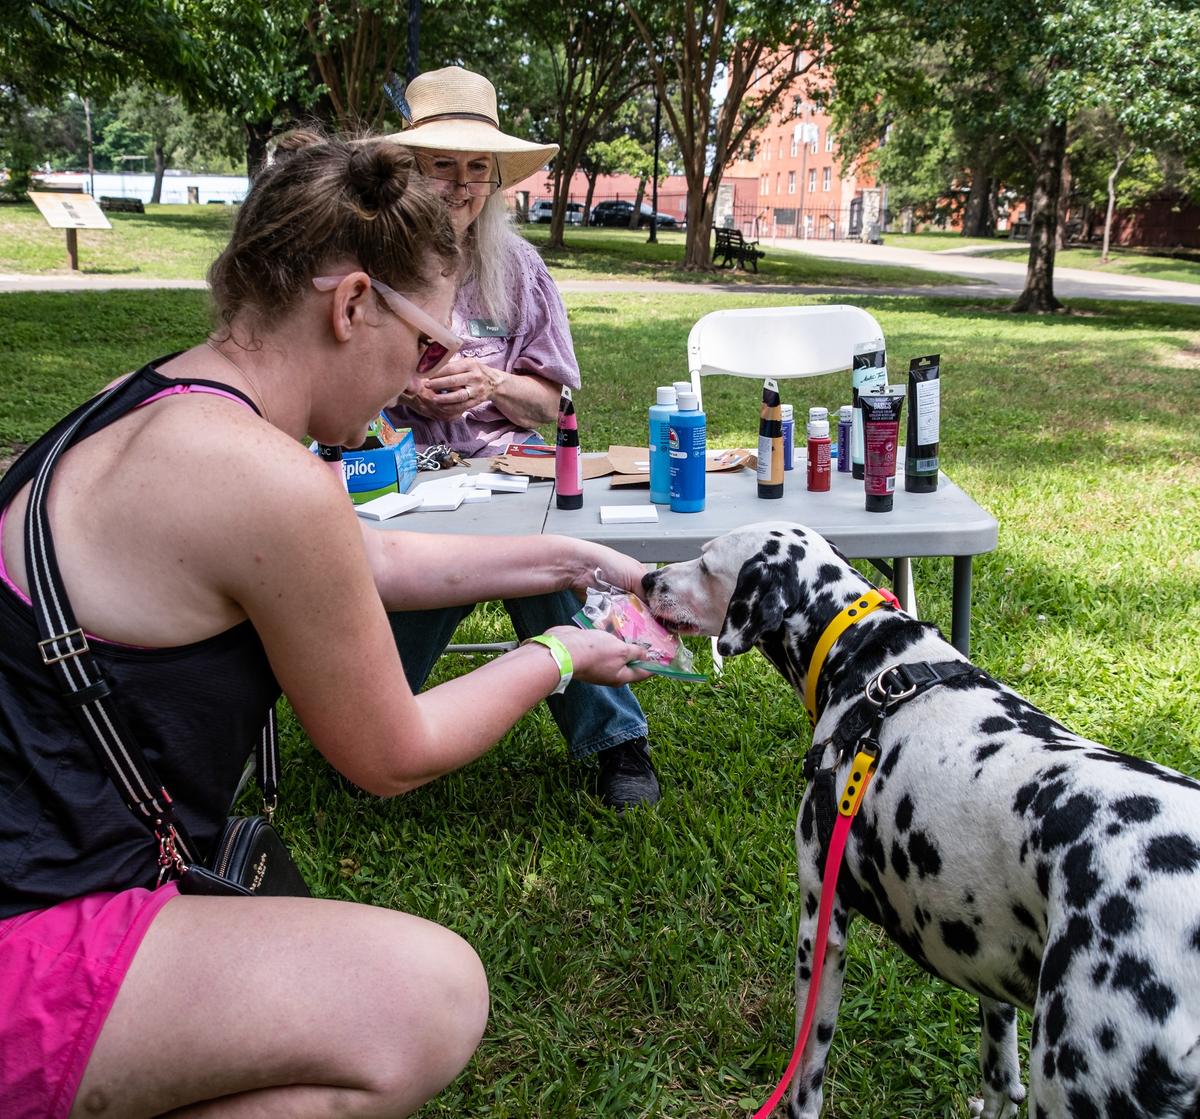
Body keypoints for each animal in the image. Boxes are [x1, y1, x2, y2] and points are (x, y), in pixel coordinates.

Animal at [643, 523, 1200, 1119]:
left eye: (705, 564)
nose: (649, 581)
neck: (867, 654)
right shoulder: (990, 964)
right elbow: (999, 1078)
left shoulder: (822, 925)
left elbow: (806, 1076)